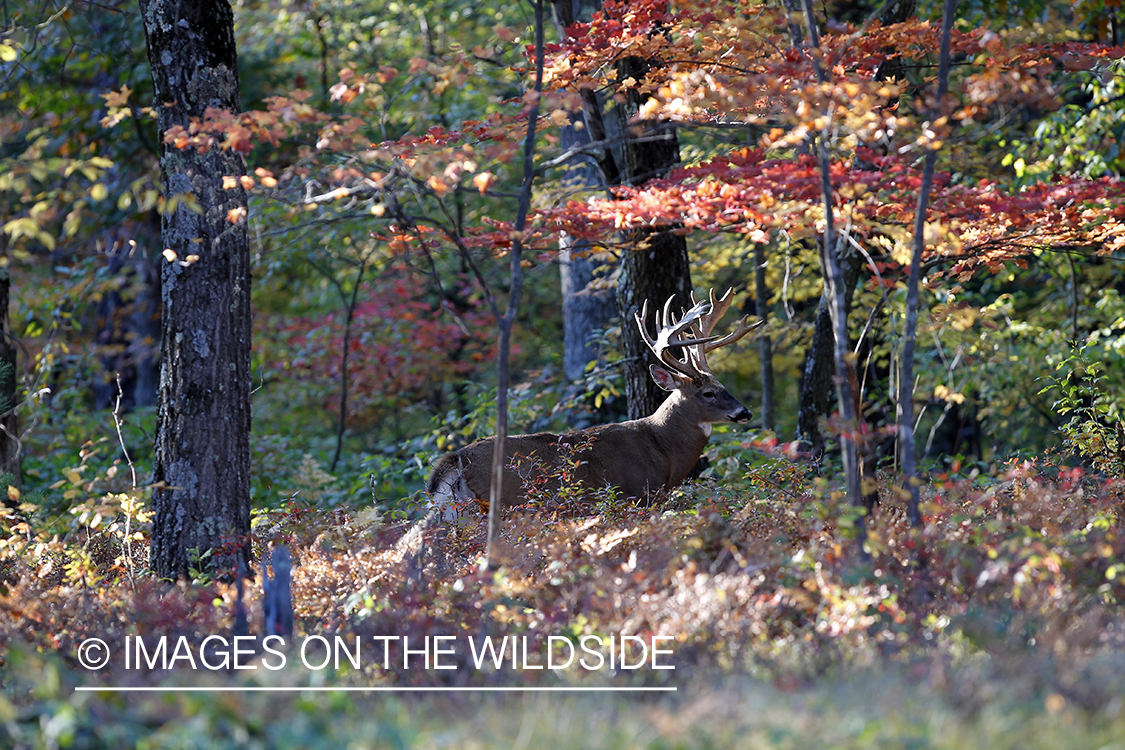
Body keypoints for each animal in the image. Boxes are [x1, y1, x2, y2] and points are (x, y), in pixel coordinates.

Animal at [425, 290, 760, 521]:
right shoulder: (637, 495)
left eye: (723, 386)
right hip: (505, 505)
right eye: (709, 393)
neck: (662, 451)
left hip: (454, 512)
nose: (745, 412)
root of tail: (456, 460)